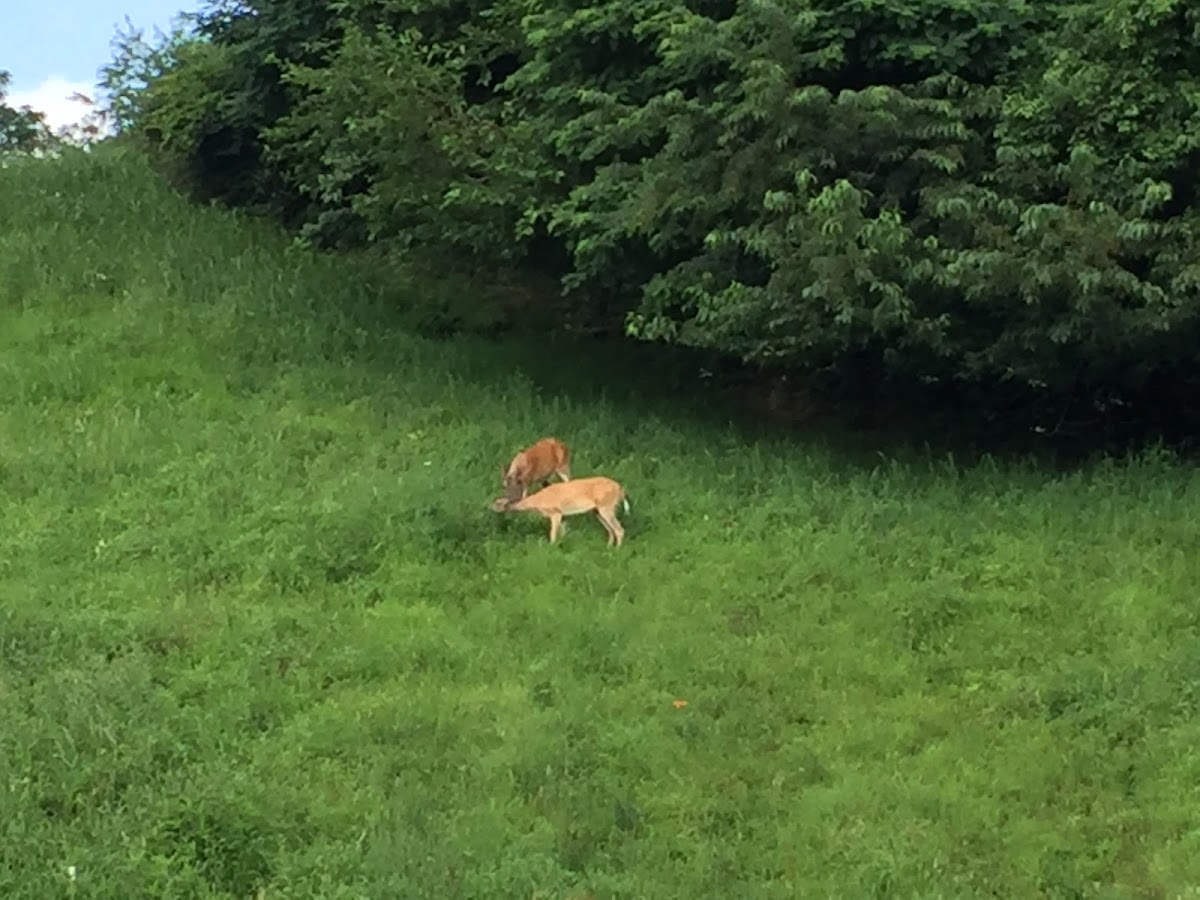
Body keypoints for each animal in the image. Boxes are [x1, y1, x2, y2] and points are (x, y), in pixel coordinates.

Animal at [492, 475, 633, 547]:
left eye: (497, 502)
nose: (491, 507)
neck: (539, 501)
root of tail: (620, 489)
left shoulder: (555, 512)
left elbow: (553, 534)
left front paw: (552, 548)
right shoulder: (562, 515)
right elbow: (562, 533)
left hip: (606, 506)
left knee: (619, 529)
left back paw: (617, 550)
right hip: (597, 511)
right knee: (610, 530)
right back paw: (608, 548)